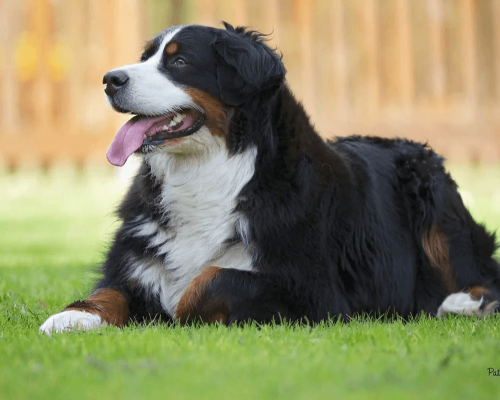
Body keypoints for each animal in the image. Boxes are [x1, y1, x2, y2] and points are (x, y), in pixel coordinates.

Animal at [39, 22, 500, 334]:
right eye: (144, 57)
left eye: (180, 62)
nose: (110, 80)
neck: (209, 173)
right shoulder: (134, 261)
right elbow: (110, 290)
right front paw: (72, 315)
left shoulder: (314, 294)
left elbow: (208, 281)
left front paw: (169, 313)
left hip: (433, 199)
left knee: (483, 275)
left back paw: (462, 303)